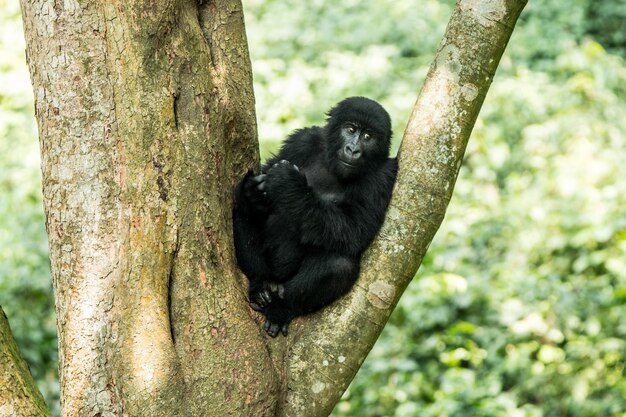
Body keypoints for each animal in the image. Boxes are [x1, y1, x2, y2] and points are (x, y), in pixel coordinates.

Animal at [232, 96, 398, 334]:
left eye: (368, 137)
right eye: (350, 129)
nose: (353, 149)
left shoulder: (384, 175)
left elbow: (354, 229)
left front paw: (288, 182)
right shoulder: (303, 140)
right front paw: (252, 192)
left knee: (339, 265)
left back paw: (282, 308)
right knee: (242, 214)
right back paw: (260, 284)